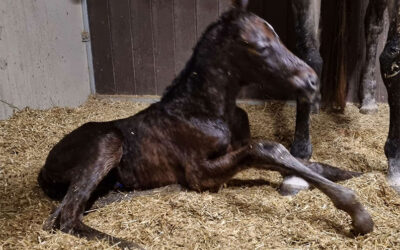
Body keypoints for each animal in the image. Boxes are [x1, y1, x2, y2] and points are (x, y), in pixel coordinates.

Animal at [36, 0, 372, 248]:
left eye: (278, 36)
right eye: (259, 46)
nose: (312, 81)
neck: (204, 110)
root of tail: (43, 167)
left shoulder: (237, 147)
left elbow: (294, 161)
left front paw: (351, 173)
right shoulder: (199, 173)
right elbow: (269, 149)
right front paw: (357, 211)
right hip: (107, 142)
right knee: (65, 217)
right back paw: (129, 243)